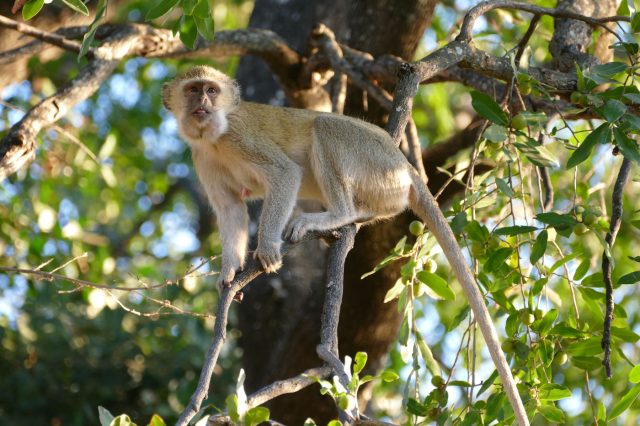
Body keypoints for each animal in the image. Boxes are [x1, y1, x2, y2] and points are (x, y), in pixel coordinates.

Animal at [162, 66, 528, 422]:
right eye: (194, 90)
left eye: (211, 90)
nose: (203, 103)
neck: (213, 137)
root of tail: (403, 163)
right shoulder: (202, 159)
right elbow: (230, 210)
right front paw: (229, 273)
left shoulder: (239, 136)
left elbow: (284, 174)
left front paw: (266, 249)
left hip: (374, 159)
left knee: (325, 126)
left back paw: (338, 214)